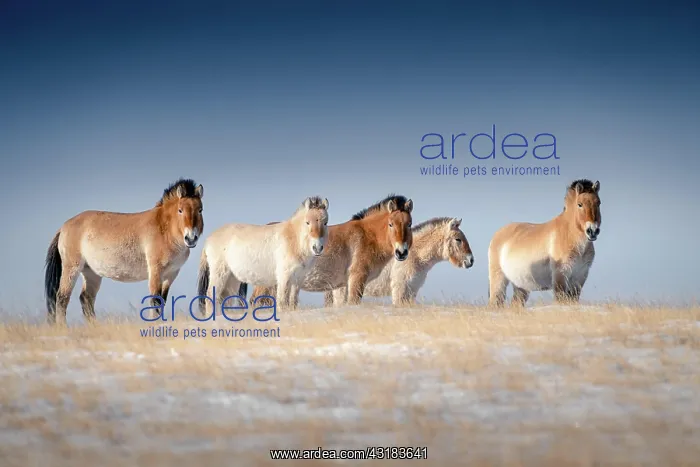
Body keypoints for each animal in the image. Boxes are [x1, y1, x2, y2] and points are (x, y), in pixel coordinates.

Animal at [44, 178, 204, 325]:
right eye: (180, 210)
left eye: (200, 210)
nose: (191, 238)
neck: (164, 229)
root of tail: (64, 226)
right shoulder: (155, 271)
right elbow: (154, 299)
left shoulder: (171, 275)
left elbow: (162, 300)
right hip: (72, 268)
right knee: (62, 297)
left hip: (91, 272)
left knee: (86, 299)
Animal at [196, 196, 330, 314]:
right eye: (307, 222)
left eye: (325, 222)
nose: (317, 247)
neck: (293, 238)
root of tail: (208, 239)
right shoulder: (284, 277)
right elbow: (282, 302)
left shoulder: (297, 280)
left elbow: (293, 302)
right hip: (219, 274)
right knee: (211, 297)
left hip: (232, 278)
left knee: (225, 299)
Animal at [245, 194, 414, 307]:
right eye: (391, 224)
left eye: (409, 224)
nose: (401, 252)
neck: (367, 235)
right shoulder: (357, 279)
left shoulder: (342, 286)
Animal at [487, 179, 602, 307]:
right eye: (580, 204)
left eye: (598, 203)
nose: (592, 231)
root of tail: (497, 235)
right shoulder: (560, 275)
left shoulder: (579, 277)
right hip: (499, 280)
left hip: (521, 286)